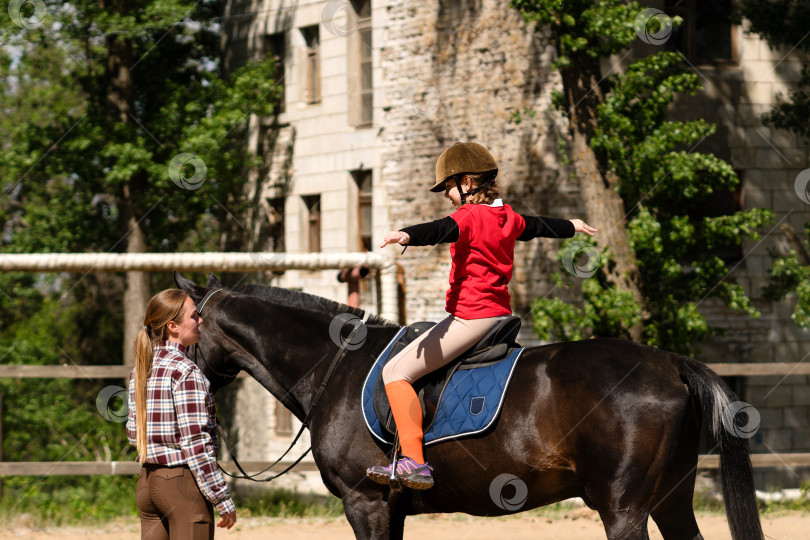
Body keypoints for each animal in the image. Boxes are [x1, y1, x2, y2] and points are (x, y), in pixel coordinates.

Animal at [174, 274, 760, 540]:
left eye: (181, 332)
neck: (334, 365)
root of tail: (669, 362)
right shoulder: (390, 509)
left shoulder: (365, 503)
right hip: (670, 499)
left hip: (625, 508)